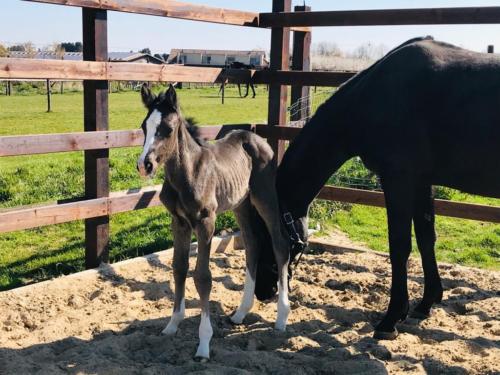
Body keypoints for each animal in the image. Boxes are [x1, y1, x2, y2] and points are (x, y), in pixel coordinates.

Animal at [137, 84, 292, 362]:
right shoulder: (179, 222)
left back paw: (282, 317)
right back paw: (241, 312)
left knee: (280, 243)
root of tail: (257, 138)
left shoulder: (206, 221)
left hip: (265, 197)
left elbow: (203, 277)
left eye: (168, 128)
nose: (145, 165)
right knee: (253, 244)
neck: (187, 174)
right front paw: (172, 324)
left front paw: (204, 344)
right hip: (241, 204)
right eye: (144, 126)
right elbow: (179, 267)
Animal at [252, 37, 500, 340]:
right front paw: (426, 303)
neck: (373, 98)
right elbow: (426, 238)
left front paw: (390, 319)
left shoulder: (398, 180)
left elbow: (400, 246)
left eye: (266, 232)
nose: (262, 290)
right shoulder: (422, 181)